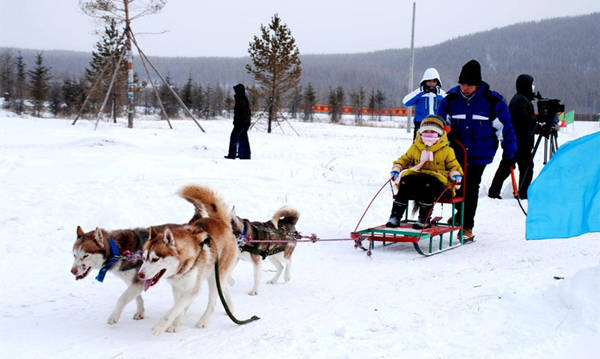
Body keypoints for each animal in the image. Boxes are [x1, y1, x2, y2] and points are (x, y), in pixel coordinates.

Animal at [137, 186, 238, 338]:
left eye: (155, 259)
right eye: (144, 258)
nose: (140, 275)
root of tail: (220, 222)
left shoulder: (193, 289)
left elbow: (175, 309)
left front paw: (161, 326)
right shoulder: (177, 287)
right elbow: (178, 307)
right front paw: (176, 324)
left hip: (215, 277)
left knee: (213, 301)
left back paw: (204, 320)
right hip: (214, 275)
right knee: (224, 287)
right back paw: (230, 308)